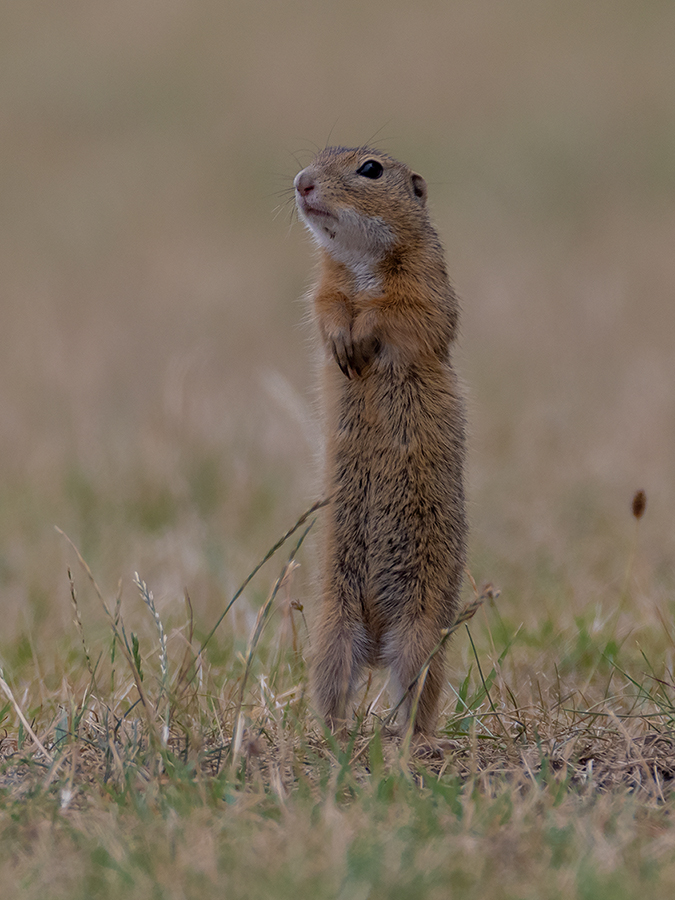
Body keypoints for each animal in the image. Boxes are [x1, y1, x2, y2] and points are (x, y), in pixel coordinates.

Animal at [294, 146, 468, 740]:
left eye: (370, 169)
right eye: (315, 155)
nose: (301, 182)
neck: (362, 264)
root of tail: (374, 633)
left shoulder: (426, 286)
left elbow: (400, 312)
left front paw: (363, 331)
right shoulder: (324, 285)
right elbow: (326, 305)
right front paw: (341, 341)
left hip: (420, 635)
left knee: (414, 691)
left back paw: (410, 737)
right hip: (333, 633)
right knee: (335, 688)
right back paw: (333, 733)